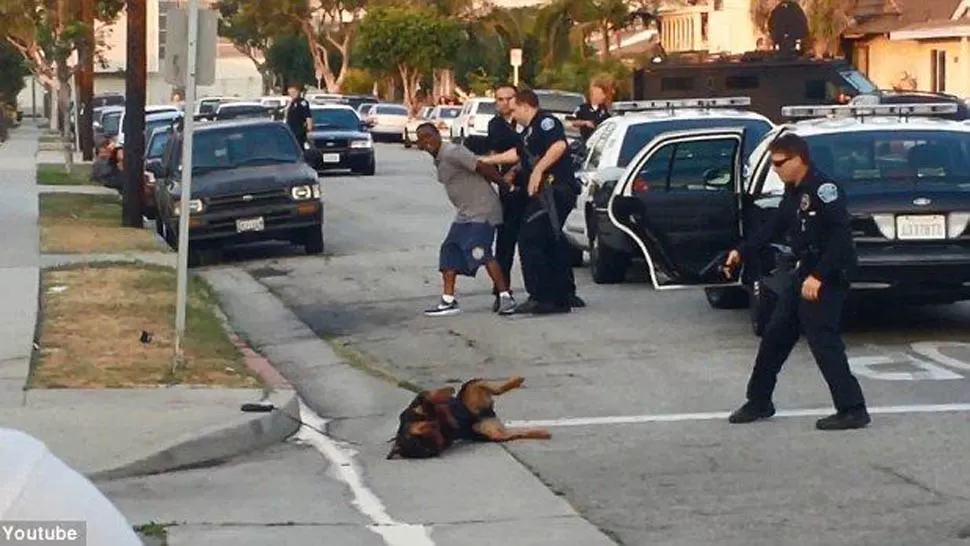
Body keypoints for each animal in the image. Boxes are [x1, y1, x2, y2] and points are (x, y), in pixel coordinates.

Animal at [388, 374, 552, 460]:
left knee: (488, 385)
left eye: (418, 441)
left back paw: (517, 380)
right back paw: (541, 432)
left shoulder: (417, 407)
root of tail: (486, 413)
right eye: (423, 448)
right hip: (494, 432)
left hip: (471, 390)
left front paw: (446, 393)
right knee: (516, 432)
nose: (433, 443)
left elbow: (429, 397)